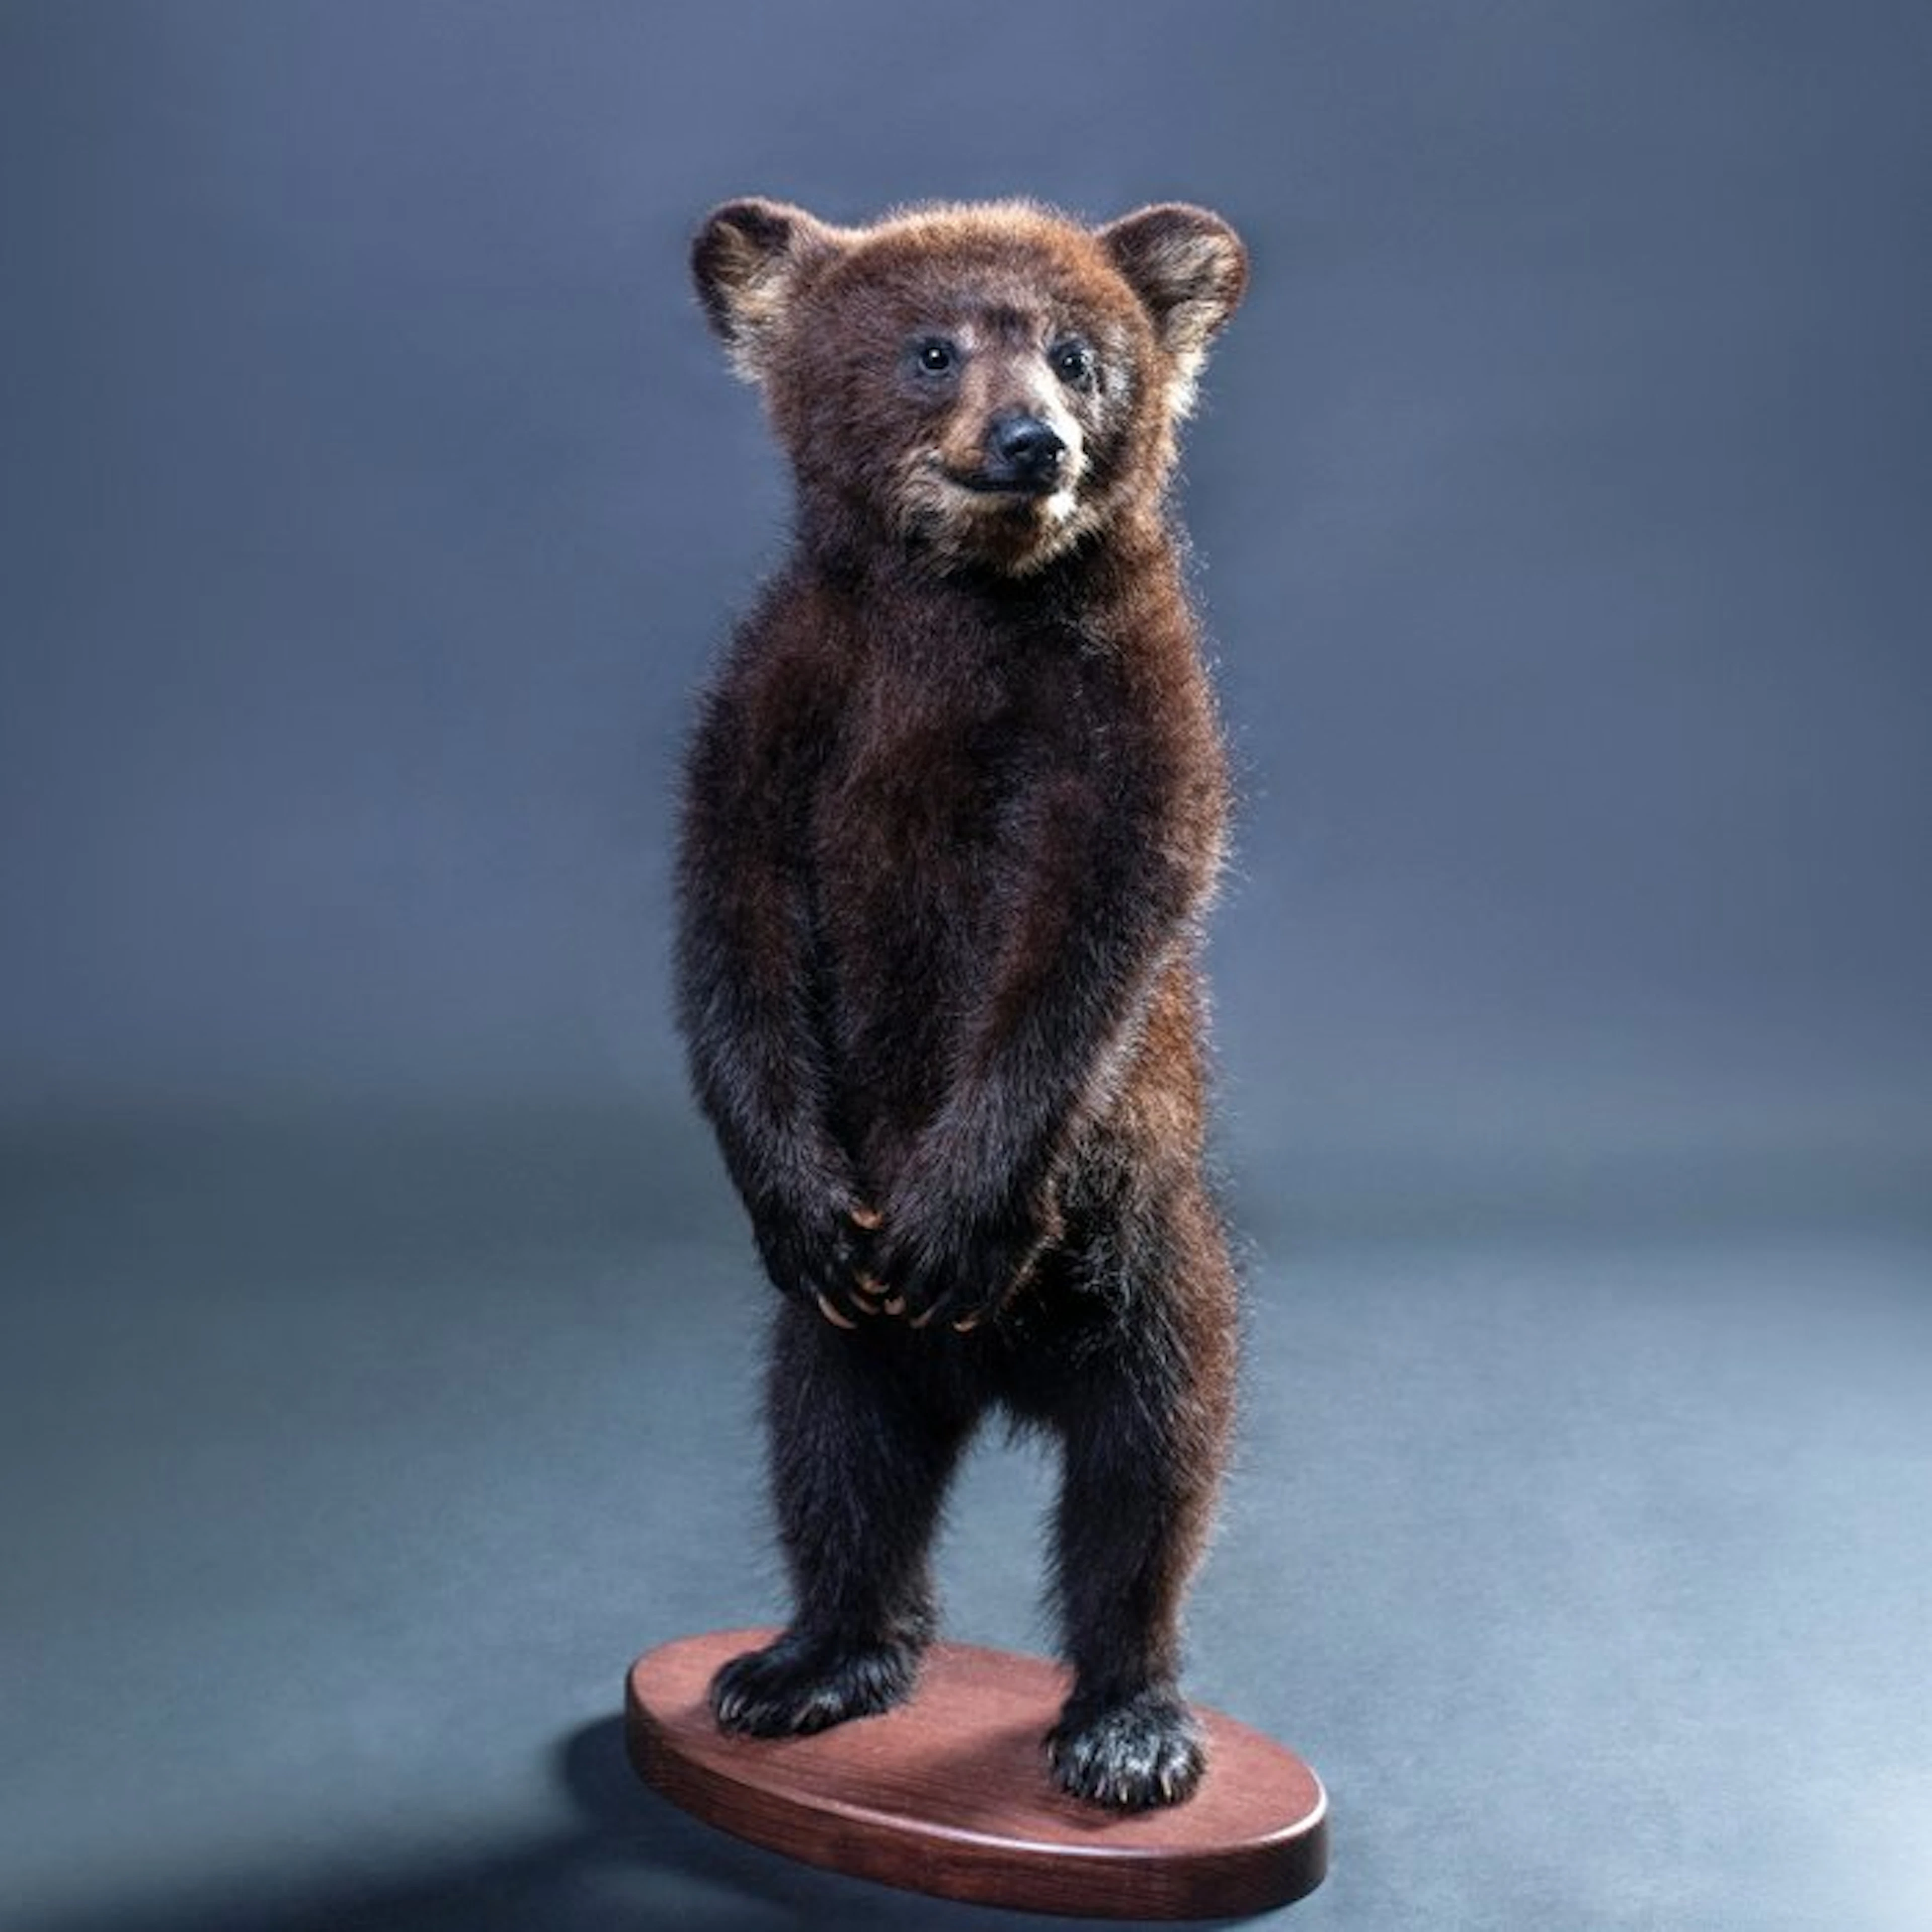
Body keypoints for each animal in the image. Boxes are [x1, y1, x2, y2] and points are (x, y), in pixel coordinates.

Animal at [675, 195, 1248, 1810]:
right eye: (932, 348)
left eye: (1078, 351)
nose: (1030, 442)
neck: (962, 607)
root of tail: (986, 1377)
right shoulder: (790, 694)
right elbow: (734, 918)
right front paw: (793, 1188)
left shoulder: (1129, 701)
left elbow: (1093, 928)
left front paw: (954, 1211)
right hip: (838, 1341)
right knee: (834, 1451)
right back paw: (804, 1664)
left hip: (1153, 1267)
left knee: (1149, 1477)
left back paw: (1126, 1725)